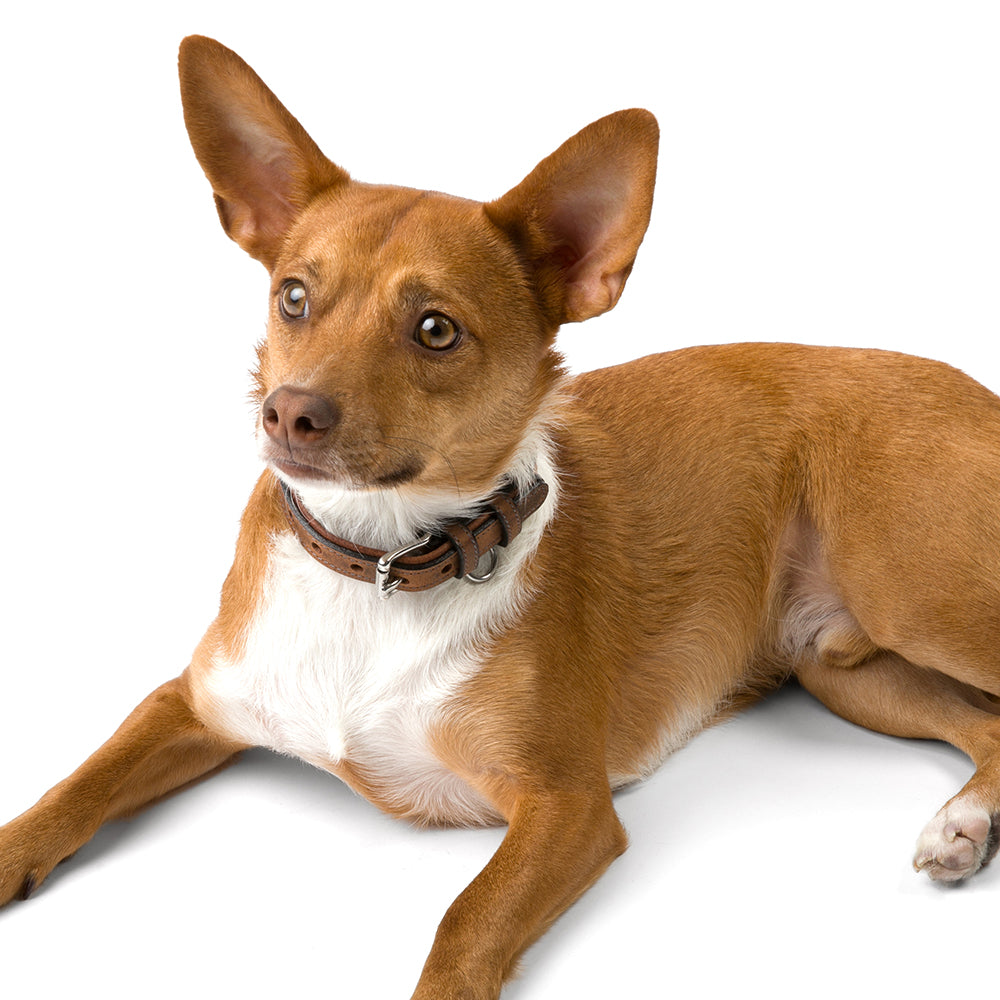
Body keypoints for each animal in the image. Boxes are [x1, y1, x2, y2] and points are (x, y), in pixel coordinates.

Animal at [1, 31, 1000, 1000]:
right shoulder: (184, 703)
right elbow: (74, 784)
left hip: (909, 591)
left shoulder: (566, 807)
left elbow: (464, 924)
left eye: (436, 330)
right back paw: (966, 824)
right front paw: (14, 850)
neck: (378, 563)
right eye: (293, 297)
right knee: (989, 726)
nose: (288, 412)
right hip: (845, 670)